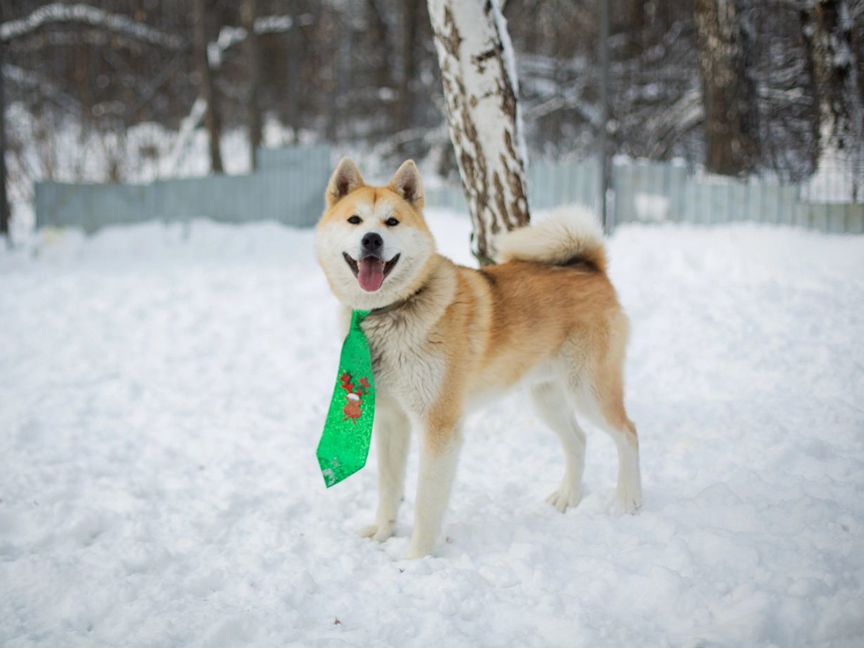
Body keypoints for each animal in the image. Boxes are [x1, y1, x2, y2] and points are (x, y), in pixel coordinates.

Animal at [318, 157, 640, 556]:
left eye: (392, 222)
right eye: (355, 220)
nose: (372, 240)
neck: (389, 313)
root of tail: (590, 267)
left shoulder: (439, 427)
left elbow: (426, 503)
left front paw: (416, 559)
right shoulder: (391, 419)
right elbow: (390, 488)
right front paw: (382, 534)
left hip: (589, 392)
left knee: (628, 433)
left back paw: (628, 500)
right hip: (546, 396)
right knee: (578, 440)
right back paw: (568, 498)